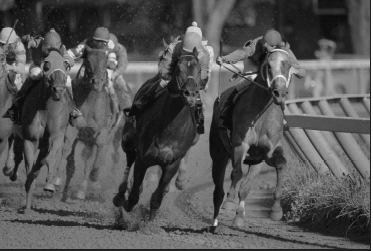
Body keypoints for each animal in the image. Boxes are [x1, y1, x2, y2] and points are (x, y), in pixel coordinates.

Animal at [18, 50, 73, 211]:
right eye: (47, 65)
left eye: (65, 64)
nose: (59, 90)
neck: (46, 109)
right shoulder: (30, 139)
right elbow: (30, 169)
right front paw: (27, 206)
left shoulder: (57, 134)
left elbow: (50, 156)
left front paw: (50, 184)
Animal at [113, 48, 201, 221]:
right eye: (178, 69)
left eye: (199, 70)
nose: (191, 94)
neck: (170, 127)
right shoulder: (143, 159)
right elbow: (134, 195)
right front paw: (127, 207)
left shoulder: (172, 163)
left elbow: (157, 196)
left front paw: (149, 219)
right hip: (128, 140)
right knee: (129, 161)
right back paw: (120, 194)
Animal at [209, 43, 302, 229]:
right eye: (268, 66)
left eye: (288, 65)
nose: (279, 93)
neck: (262, 117)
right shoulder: (241, 145)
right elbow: (237, 174)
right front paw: (230, 205)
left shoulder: (265, 152)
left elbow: (276, 167)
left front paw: (274, 211)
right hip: (219, 149)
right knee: (226, 173)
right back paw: (225, 202)